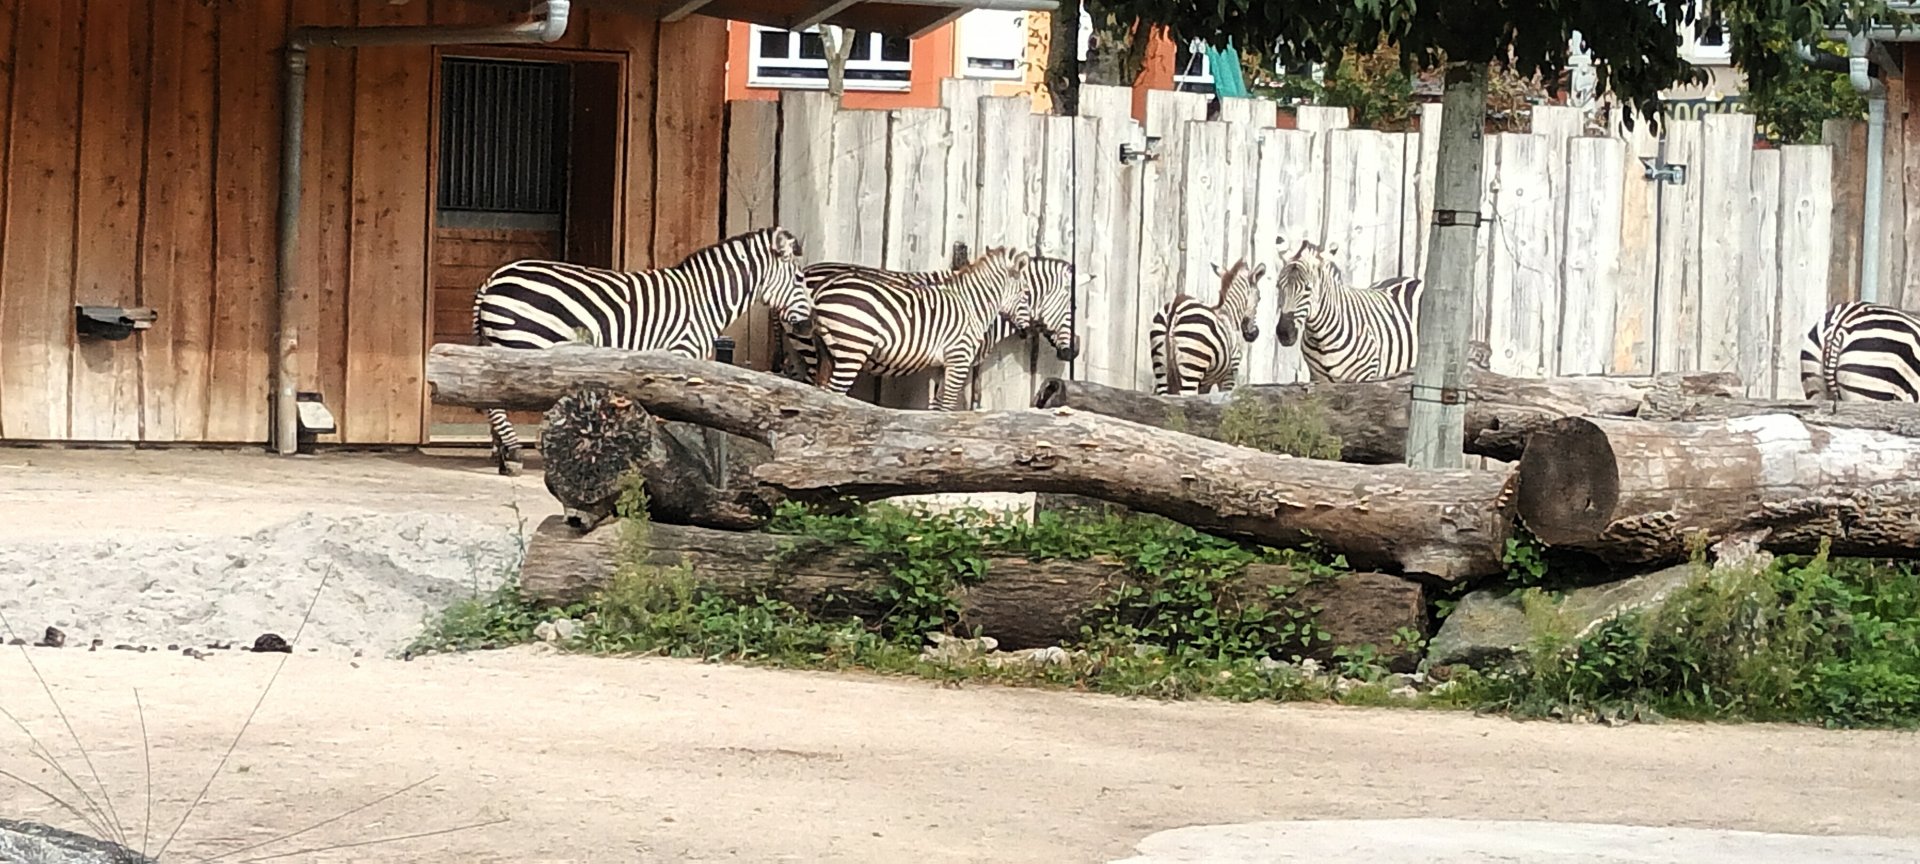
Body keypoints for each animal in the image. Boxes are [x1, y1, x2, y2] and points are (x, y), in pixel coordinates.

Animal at [470, 226, 813, 476]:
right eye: (799, 278)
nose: (809, 326)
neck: (705, 301)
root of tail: (494, 277)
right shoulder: (680, 354)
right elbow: (674, 415)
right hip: (523, 343)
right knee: (497, 403)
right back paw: (513, 454)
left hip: (496, 343)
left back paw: (502, 453)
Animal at [804, 246, 1035, 410]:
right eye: (1025, 293)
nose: (1028, 329)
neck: (972, 306)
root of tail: (821, 289)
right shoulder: (958, 358)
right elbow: (948, 406)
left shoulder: (940, 365)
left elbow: (937, 407)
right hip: (852, 347)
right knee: (836, 396)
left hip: (826, 350)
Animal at [1148, 259, 1268, 395]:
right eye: (1259, 298)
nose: (1254, 334)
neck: (1229, 315)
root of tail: (1175, 305)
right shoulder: (1229, 376)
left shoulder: (1205, 384)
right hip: (1192, 366)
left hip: (1161, 368)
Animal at [1272, 238, 1425, 384]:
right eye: (1278, 286)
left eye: (1308, 288)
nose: (1284, 332)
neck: (1321, 338)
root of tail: (1414, 280)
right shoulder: (1317, 379)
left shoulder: (1364, 378)